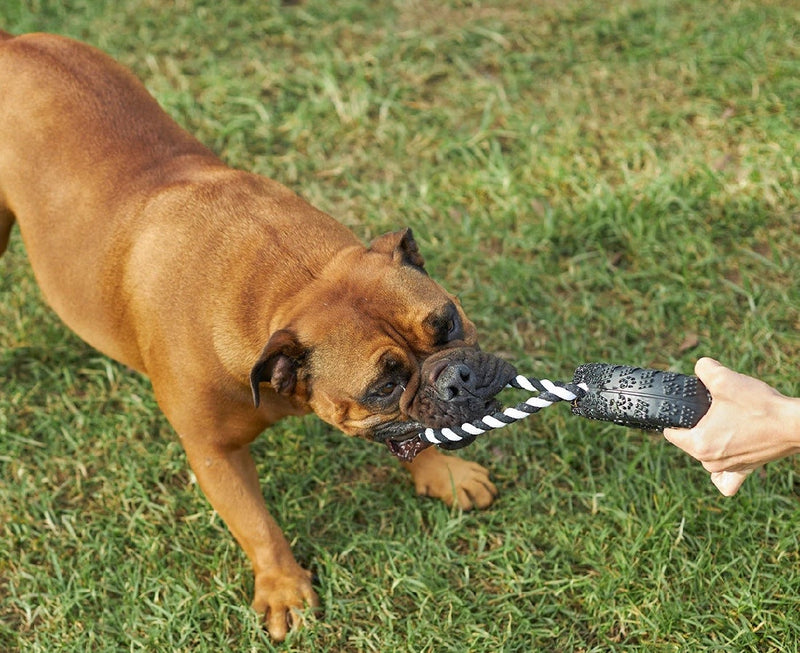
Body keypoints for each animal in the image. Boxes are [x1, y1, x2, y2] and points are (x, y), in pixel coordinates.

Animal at [0, 33, 512, 640]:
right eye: (383, 387)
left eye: (448, 322)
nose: (457, 377)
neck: (294, 282)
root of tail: (14, 42)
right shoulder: (214, 455)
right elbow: (257, 525)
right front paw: (283, 588)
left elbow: (416, 437)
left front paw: (443, 475)